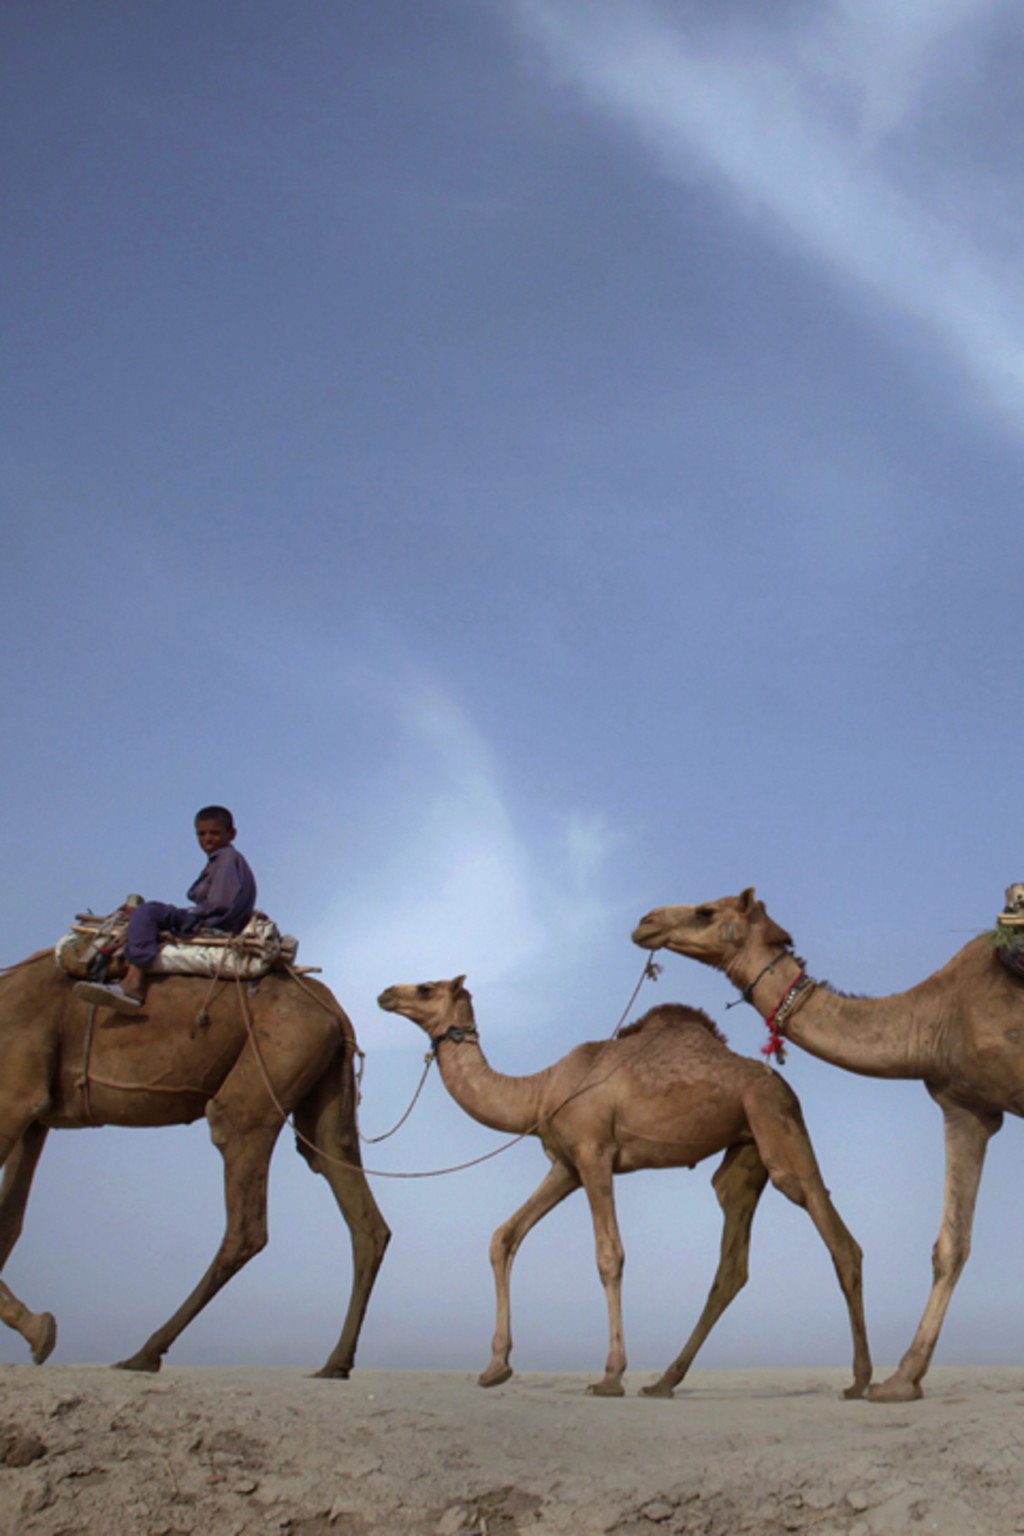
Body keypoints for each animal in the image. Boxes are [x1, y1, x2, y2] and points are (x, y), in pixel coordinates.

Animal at [0, 951, 390, 1374]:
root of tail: (335, 1009)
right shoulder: (35, 1117)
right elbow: (10, 1222)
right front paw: (38, 1330)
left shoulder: (15, 1096)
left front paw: (40, 1329)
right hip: (324, 1086)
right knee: (359, 1209)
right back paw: (335, 1364)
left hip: (277, 1054)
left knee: (245, 1213)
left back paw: (144, 1353)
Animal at [377, 975, 871, 1398]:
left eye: (425, 988)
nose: (385, 994)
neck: (540, 1090)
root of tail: (786, 1087)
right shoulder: (566, 1166)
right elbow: (505, 1236)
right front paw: (496, 1367)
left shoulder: (594, 1153)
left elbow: (609, 1255)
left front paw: (610, 1376)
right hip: (746, 1149)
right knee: (732, 1260)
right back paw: (665, 1382)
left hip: (776, 1118)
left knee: (836, 1235)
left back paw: (861, 1380)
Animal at [633, 887, 1024, 1402]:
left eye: (706, 911)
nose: (645, 922)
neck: (939, 1016)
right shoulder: (968, 1108)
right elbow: (951, 1245)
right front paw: (901, 1380)